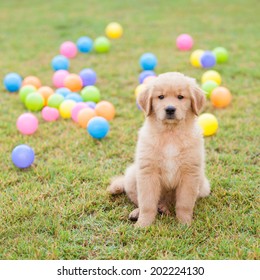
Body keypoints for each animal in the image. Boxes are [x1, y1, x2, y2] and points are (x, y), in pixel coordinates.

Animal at [107, 72, 211, 228]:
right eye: (160, 97)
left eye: (180, 97)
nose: (170, 109)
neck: (170, 134)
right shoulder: (148, 171)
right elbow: (147, 203)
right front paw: (143, 224)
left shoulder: (190, 173)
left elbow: (184, 203)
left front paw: (185, 223)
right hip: (133, 174)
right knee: (139, 200)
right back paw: (138, 212)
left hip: (203, 184)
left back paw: (163, 208)